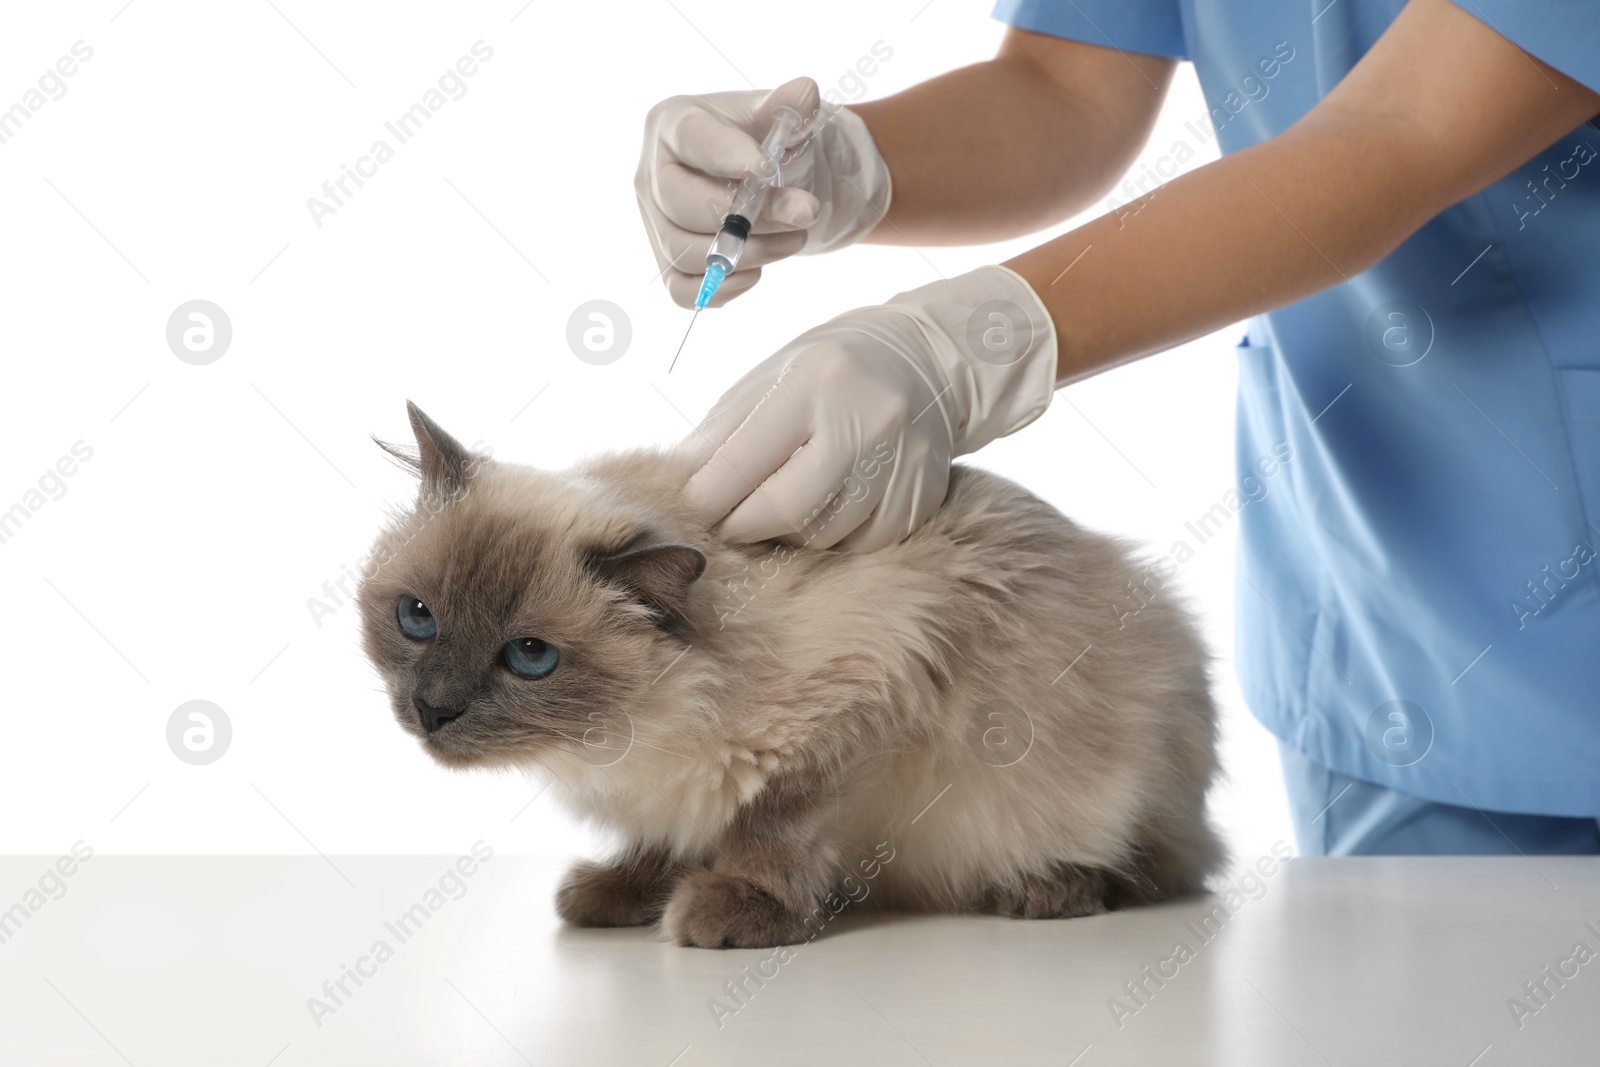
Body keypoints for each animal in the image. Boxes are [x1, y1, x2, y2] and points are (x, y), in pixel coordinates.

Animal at [356, 403, 1216, 953]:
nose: (432, 708)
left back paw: (1043, 888)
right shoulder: (668, 784)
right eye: (417, 617)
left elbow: (767, 827)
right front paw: (626, 892)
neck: (623, 731)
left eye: (529, 656)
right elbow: (662, 837)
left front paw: (731, 908)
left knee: (1155, 867)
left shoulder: (863, 696)